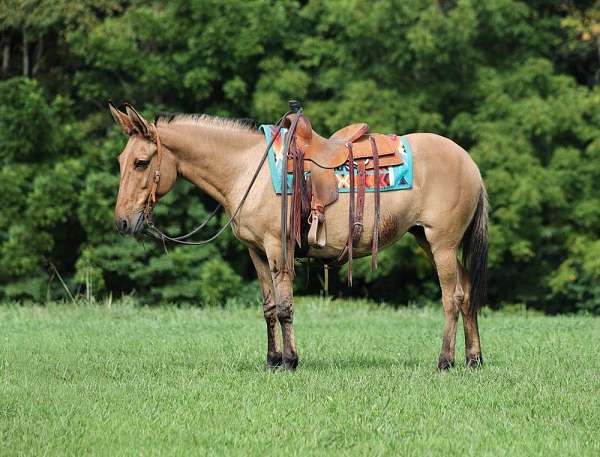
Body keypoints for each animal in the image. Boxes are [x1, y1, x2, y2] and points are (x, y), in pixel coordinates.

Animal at [111, 100, 488, 370]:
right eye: (120, 160)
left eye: (141, 162)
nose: (122, 223)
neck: (247, 170)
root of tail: (469, 161)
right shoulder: (256, 252)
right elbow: (267, 307)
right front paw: (272, 360)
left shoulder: (278, 248)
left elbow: (284, 307)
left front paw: (290, 361)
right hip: (426, 239)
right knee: (468, 291)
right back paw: (473, 359)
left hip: (442, 243)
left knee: (452, 297)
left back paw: (445, 361)